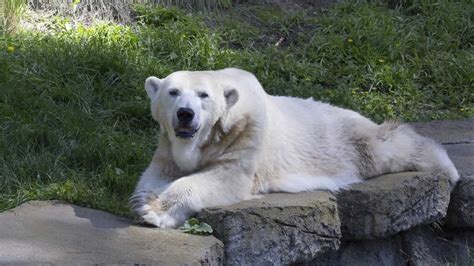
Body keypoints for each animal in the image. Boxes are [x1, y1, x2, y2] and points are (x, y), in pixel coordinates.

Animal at [129, 67, 460, 228]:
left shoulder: (245, 135)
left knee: (386, 144)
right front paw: (143, 200)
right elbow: (156, 174)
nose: (185, 114)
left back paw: (446, 167)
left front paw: (153, 210)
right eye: (173, 92)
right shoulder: (168, 146)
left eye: (203, 95)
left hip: (345, 138)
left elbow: (225, 176)